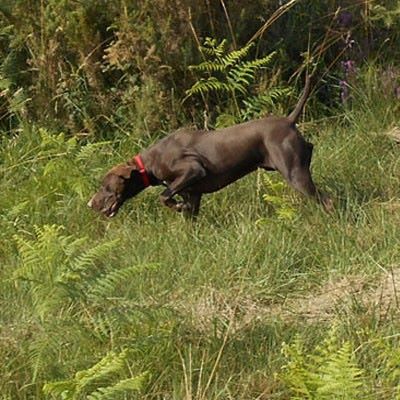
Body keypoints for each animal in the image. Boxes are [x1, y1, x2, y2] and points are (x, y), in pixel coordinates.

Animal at [87, 76, 332, 219]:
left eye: (105, 187)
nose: (90, 204)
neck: (149, 161)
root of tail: (289, 120)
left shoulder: (193, 171)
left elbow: (164, 196)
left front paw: (176, 206)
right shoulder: (193, 194)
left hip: (295, 173)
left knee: (326, 200)